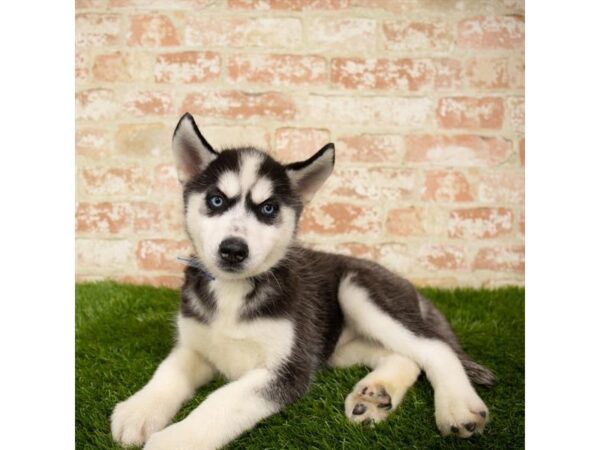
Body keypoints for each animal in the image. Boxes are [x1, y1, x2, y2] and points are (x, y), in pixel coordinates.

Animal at [110, 113, 494, 450]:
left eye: (268, 209)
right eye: (216, 200)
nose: (233, 250)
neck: (234, 292)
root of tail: (405, 283)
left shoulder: (289, 370)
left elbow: (223, 399)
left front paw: (176, 439)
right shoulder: (195, 345)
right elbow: (168, 371)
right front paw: (139, 409)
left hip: (357, 291)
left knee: (435, 348)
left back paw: (458, 407)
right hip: (335, 346)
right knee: (404, 356)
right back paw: (375, 394)